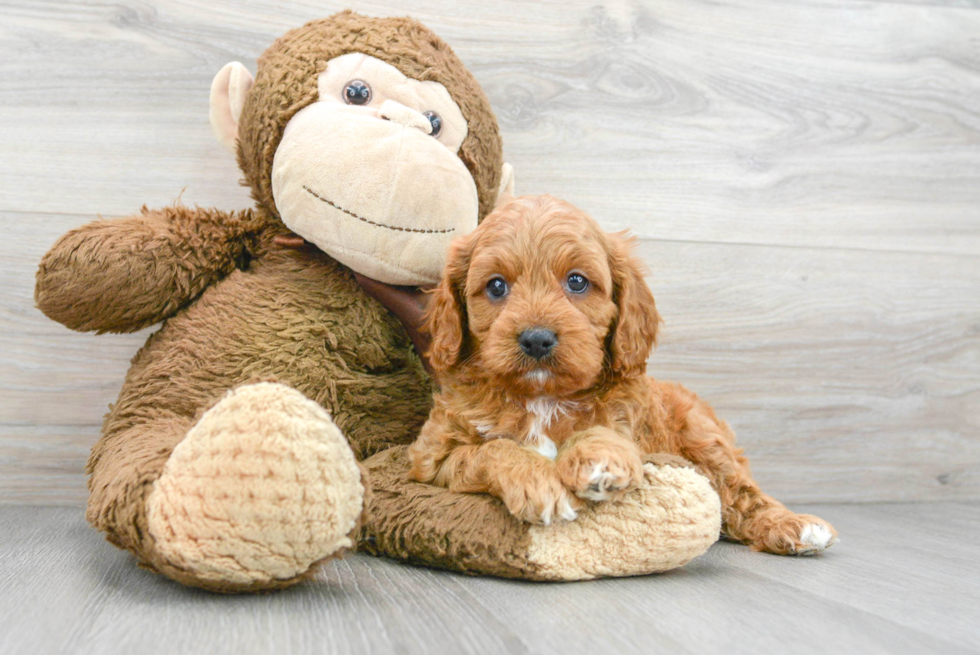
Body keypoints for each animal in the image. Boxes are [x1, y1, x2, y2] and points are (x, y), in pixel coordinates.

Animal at [406, 196, 836, 560]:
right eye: (496, 286)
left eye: (577, 281)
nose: (537, 338)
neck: (542, 397)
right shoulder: (431, 458)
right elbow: (492, 450)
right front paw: (539, 483)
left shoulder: (628, 422)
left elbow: (601, 430)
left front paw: (599, 459)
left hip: (703, 435)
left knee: (740, 491)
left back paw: (795, 526)